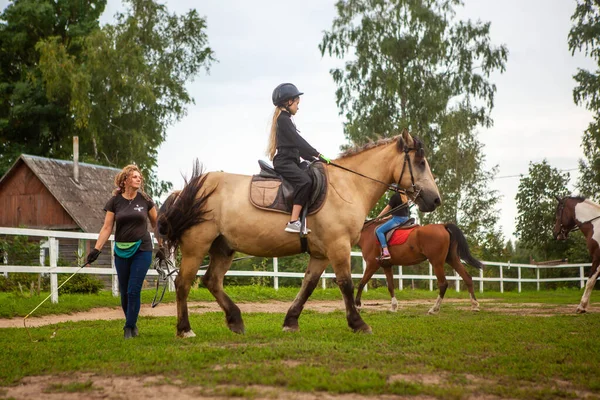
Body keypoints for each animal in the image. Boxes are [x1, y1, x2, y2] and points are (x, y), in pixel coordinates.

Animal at [158, 130, 440, 336]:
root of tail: (186, 191)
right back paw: (185, 329)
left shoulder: (321, 254)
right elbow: (346, 284)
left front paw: (291, 321)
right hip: (197, 246)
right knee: (183, 283)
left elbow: (308, 285)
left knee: (212, 281)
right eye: (420, 162)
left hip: (223, 247)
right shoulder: (338, 247)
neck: (347, 185)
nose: (435, 200)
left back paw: (235, 320)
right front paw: (358, 323)